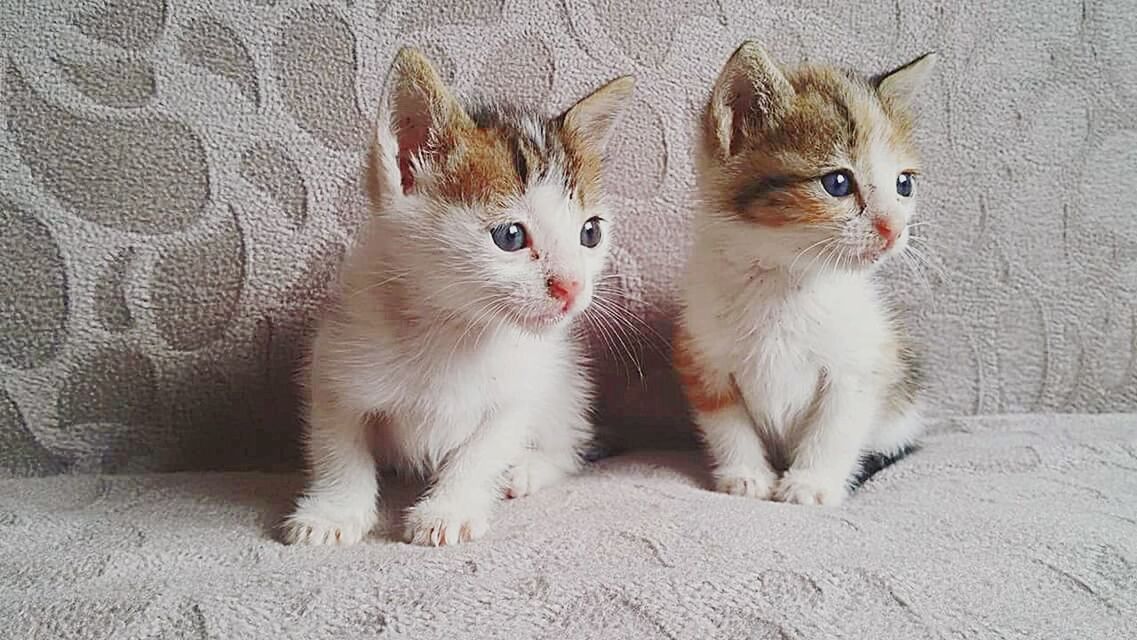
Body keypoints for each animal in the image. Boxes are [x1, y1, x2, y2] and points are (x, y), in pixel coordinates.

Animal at [280, 48, 636, 545]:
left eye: (590, 233)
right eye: (510, 236)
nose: (572, 286)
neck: (451, 330)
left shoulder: (521, 386)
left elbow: (483, 450)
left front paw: (449, 508)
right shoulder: (334, 368)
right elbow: (339, 449)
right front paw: (334, 512)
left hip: (567, 382)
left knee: (570, 444)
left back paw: (527, 469)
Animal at [677, 42, 936, 509]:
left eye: (904, 184)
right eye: (838, 183)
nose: (894, 229)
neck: (783, 282)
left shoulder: (861, 364)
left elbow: (835, 427)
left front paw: (811, 484)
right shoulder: (703, 357)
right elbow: (728, 423)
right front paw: (746, 475)